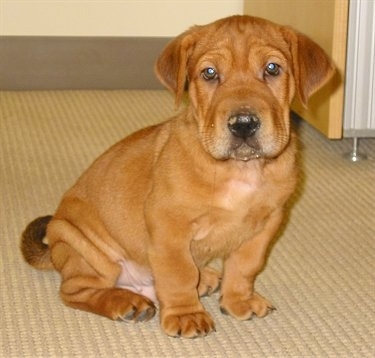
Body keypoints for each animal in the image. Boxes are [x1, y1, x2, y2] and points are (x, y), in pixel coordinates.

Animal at [21, 14, 334, 338]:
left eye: (272, 69)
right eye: (209, 73)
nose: (243, 124)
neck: (239, 169)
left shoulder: (265, 224)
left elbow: (245, 266)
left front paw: (239, 300)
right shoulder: (169, 224)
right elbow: (178, 273)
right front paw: (187, 314)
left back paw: (205, 278)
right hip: (85, 249)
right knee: (74, 291)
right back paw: (127, 302)